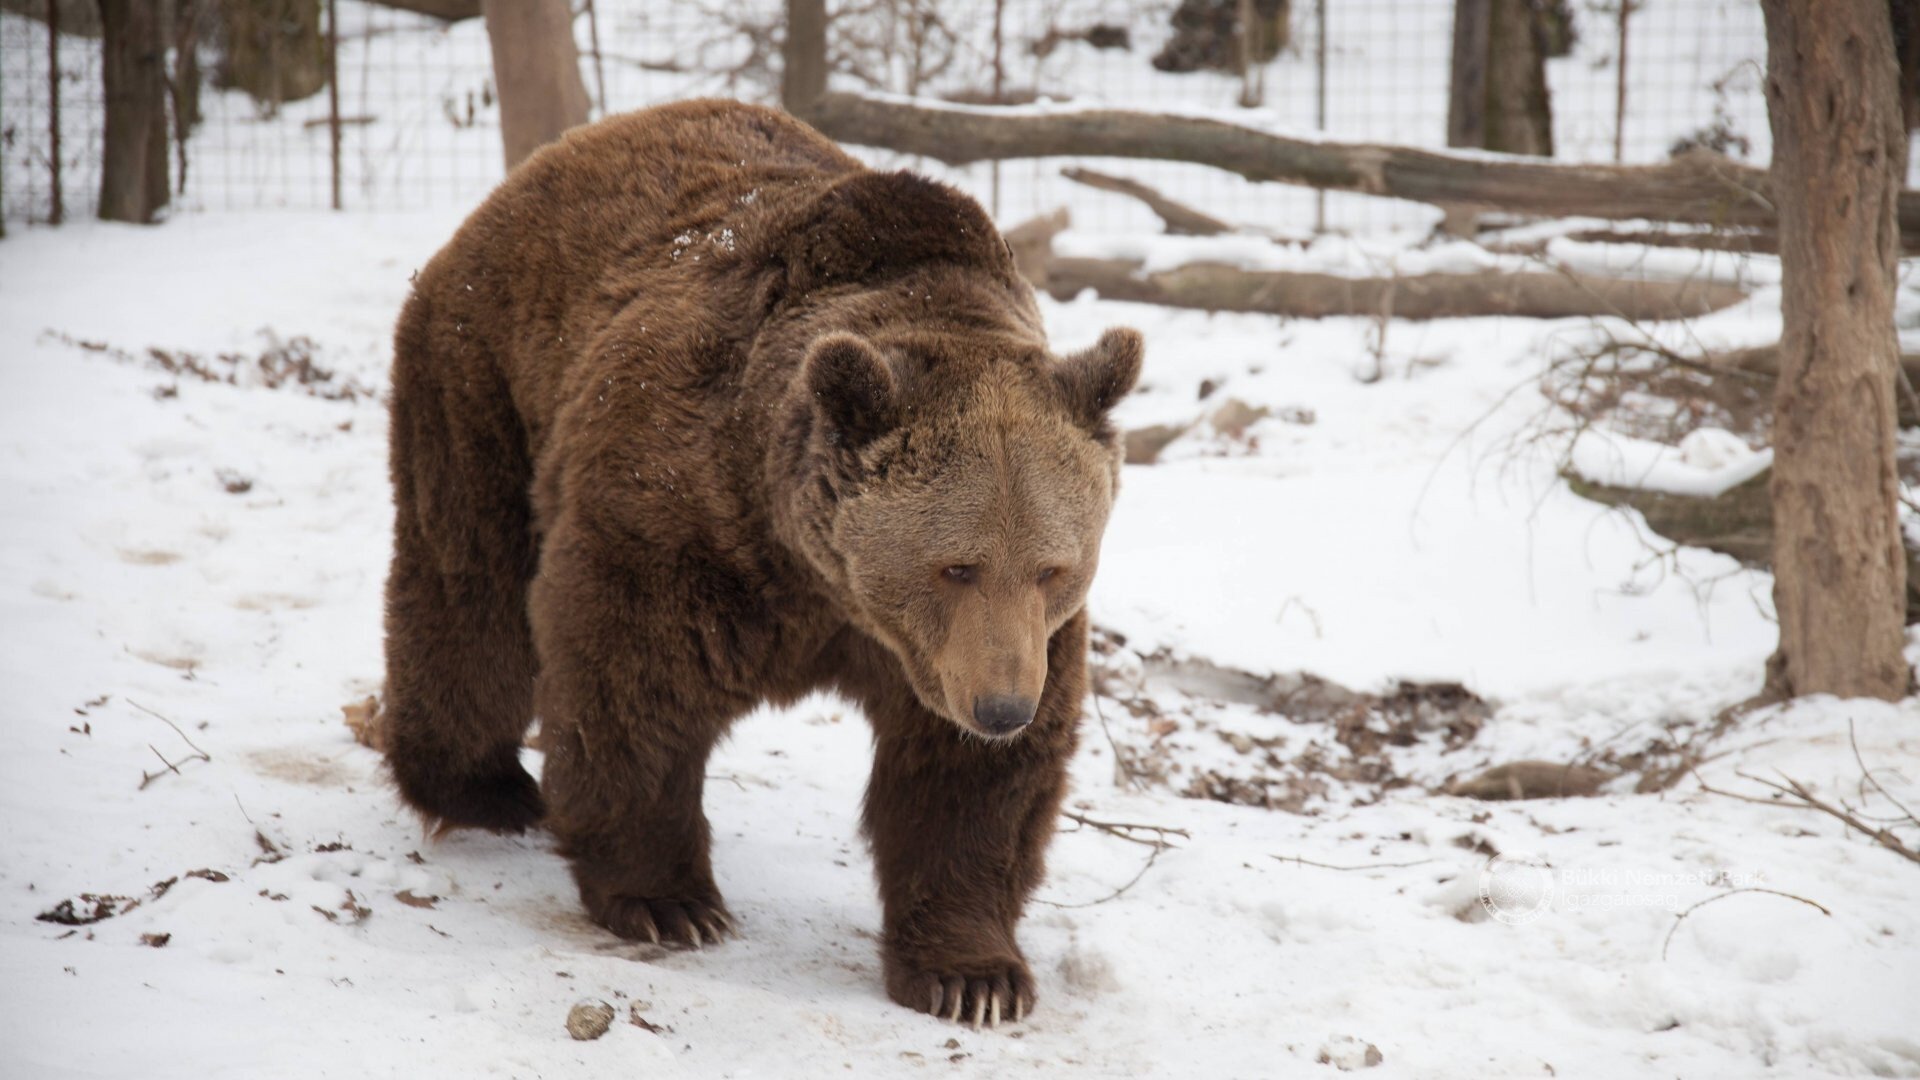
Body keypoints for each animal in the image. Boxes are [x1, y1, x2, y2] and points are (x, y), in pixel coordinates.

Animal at [380, 100, 1136, 1022]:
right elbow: (630, 684)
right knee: (470, 591)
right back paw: (480, 786)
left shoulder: (991, 644)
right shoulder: (681, 519)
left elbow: (966, 787)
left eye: (1052, 568)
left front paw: (973, 974)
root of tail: (562, 153)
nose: (1001, 708)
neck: (816, 574)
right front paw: (668, 899)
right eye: (954, 566)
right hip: (486, 375)